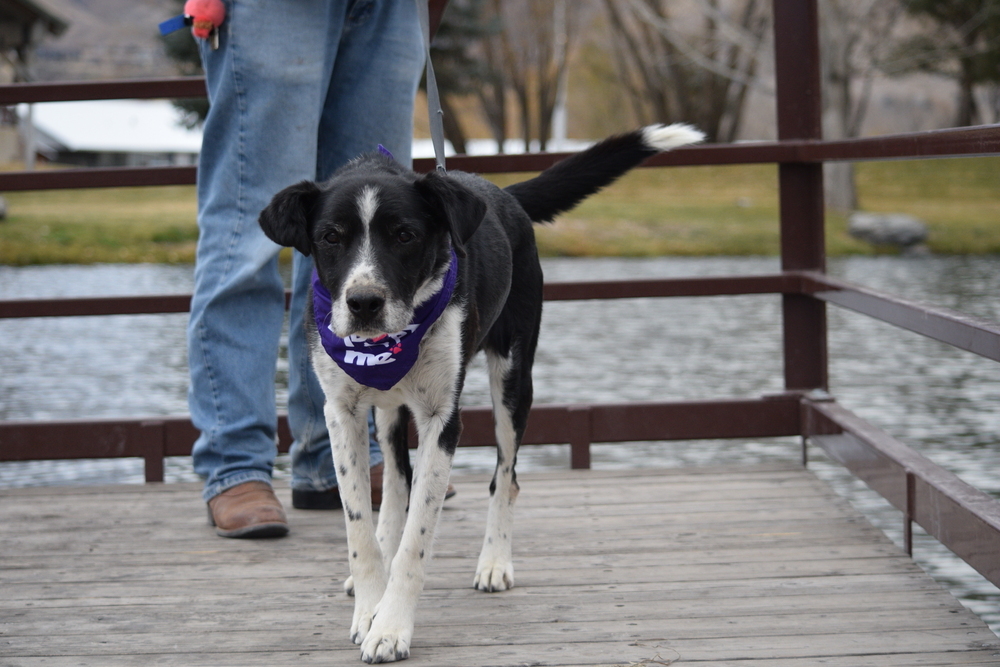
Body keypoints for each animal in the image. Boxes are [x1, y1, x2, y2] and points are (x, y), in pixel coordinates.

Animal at [262, 124, 708, 664]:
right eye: (331, 237)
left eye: (405, 235)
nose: (364, 303)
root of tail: (505, 196)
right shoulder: (341, 411)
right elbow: (359, 527)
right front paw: (370, 607)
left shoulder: (442, 419)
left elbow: (418, 538)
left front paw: (390, 627)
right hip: (390, 409)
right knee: (395, 479)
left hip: (514, 379)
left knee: (505, 477)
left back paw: (495, 562)